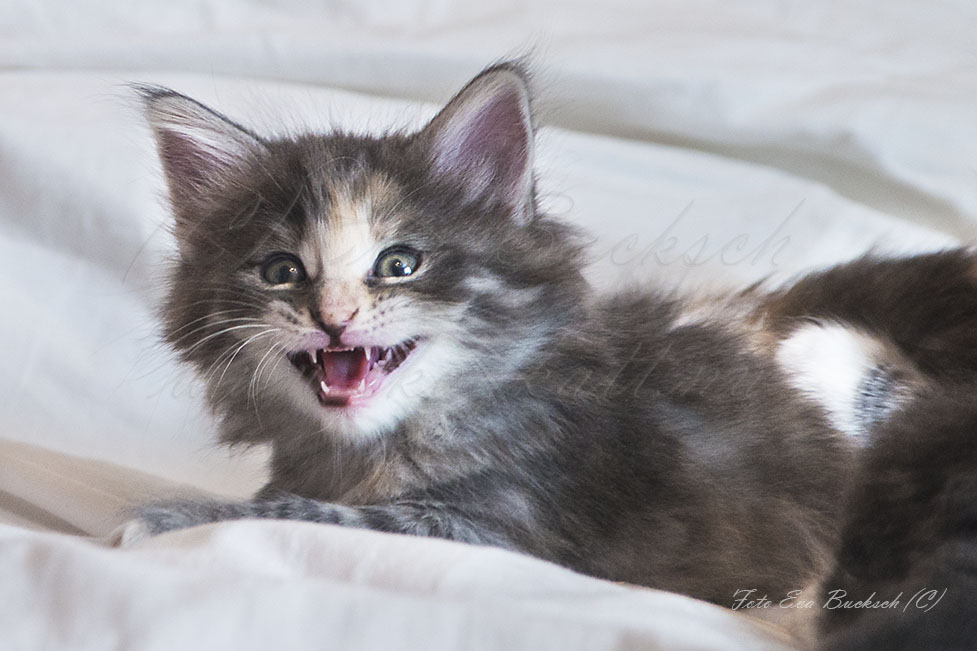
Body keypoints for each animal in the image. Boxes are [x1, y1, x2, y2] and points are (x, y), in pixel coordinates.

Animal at [124, 61, 976, 648]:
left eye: (399, 263)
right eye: (281, 272)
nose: (332, 318)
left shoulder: (512, 532)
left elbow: (310, 514)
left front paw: (164, 515)